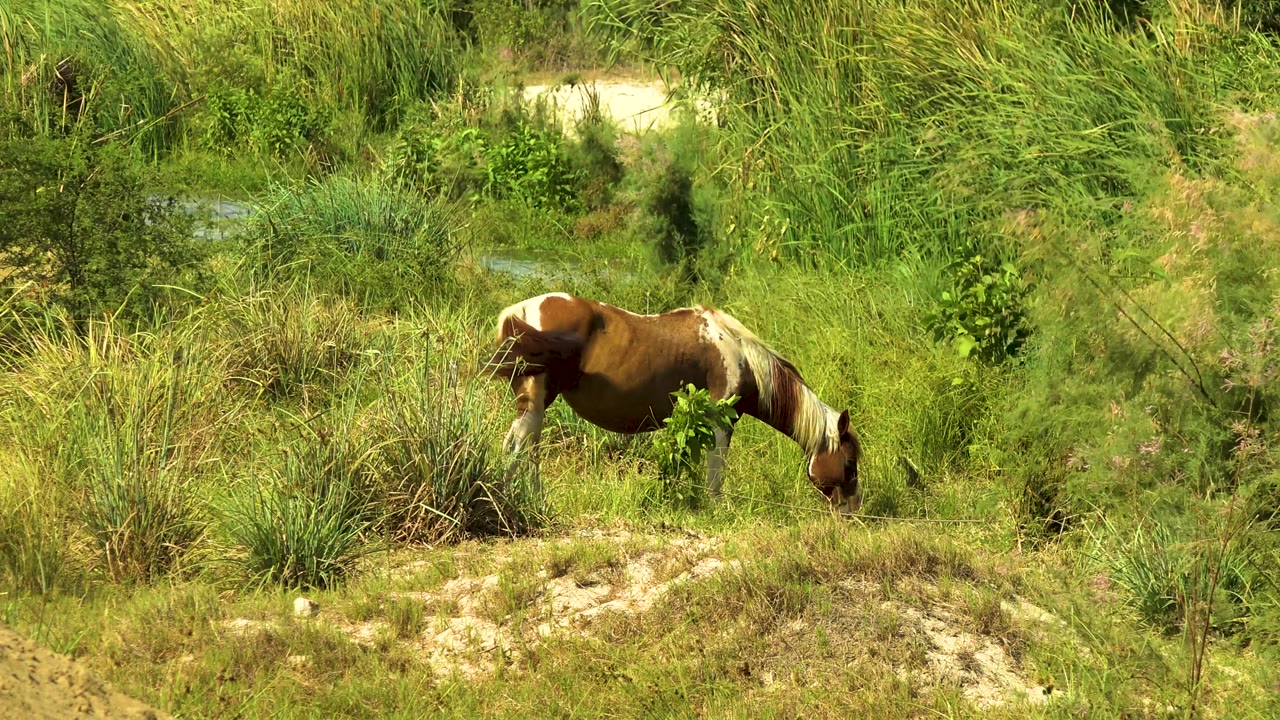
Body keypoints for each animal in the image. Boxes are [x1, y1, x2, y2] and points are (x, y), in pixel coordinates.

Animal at [482, 292, 863, 516]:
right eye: (849, 463)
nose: (852, 513)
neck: (740, 354)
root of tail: (521, 309)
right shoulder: (720, 420)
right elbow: (716, 472)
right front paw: (715, 509)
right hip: (536, 400)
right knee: (520, 447)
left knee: (520, 446)